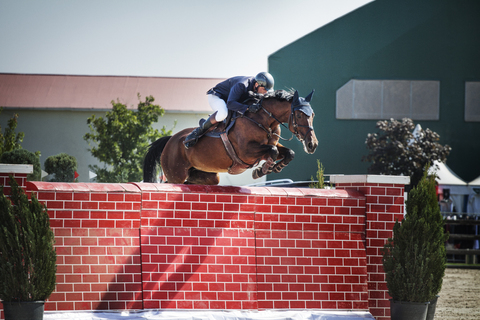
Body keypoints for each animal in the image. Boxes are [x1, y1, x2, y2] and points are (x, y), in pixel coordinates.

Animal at [142, 90, 318, 185]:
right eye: (300, 116)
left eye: (313, 115)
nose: (312, 145)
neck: (263, 120)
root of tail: (170, 140)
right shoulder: (246, 152)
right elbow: (273, 151)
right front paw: (262, 170)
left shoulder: (268, 146)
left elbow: (288, 152)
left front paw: (275, 167)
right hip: (175, 174)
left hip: (209, 176)